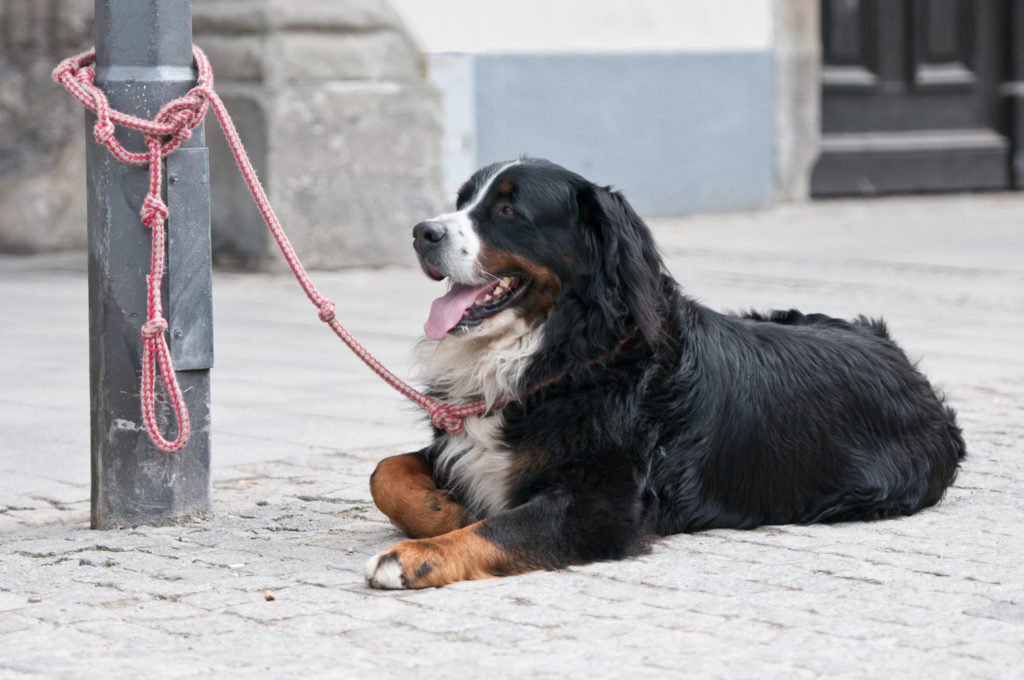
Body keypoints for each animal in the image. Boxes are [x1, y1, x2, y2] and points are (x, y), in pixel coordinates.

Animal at [362, 156, 966, 585]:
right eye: (463, 201)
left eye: (509, 211)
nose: (423, 232)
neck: (566, 355)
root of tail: (898, 356)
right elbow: (384, 472)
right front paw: (443, 509)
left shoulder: (599, 507)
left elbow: (500, 526)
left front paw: (416, 553)